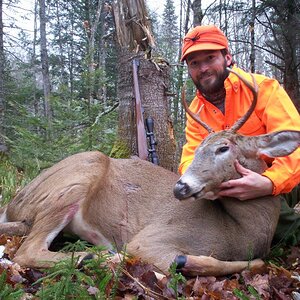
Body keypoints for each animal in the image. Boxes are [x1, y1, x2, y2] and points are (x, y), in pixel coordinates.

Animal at [0, 68, 298, 276]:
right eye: (197, 149)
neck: (238, 232)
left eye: (223, 148)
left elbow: (253, 263)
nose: (180, 187)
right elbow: (196, 263)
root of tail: (14, 203)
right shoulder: (150, 239)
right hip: (81, 174)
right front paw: (187, 260)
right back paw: (95, 257)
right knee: (26, 251)